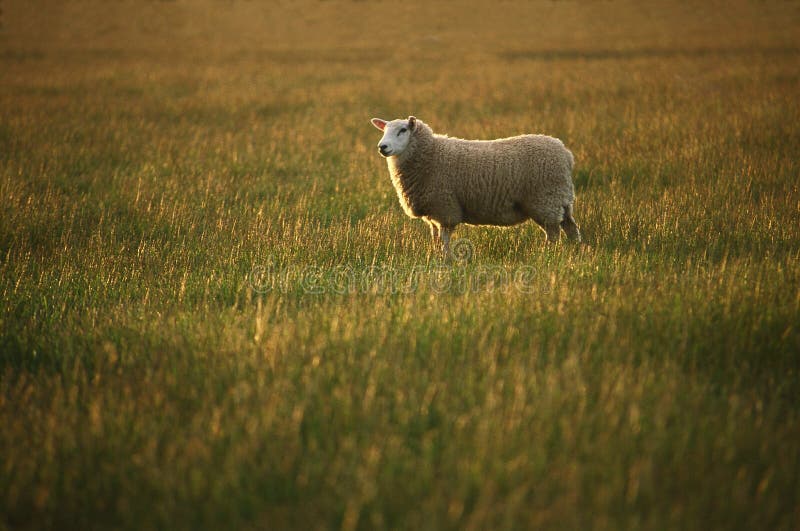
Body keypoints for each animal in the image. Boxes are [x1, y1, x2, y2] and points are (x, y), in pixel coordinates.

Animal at [368, 115, 580, 258]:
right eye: (384, 130)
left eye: (402, 130)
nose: (382, 147)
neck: (430, 155)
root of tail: (566, 154)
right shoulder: (433, 212)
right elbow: (435, 238)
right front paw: (434, 256)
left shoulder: (446, 208)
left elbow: (444, 240)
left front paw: (446, 261)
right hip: (560, 200)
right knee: (571, 228)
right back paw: (575, 252)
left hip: (545, 200)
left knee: (553, 234)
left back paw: (547, 255)